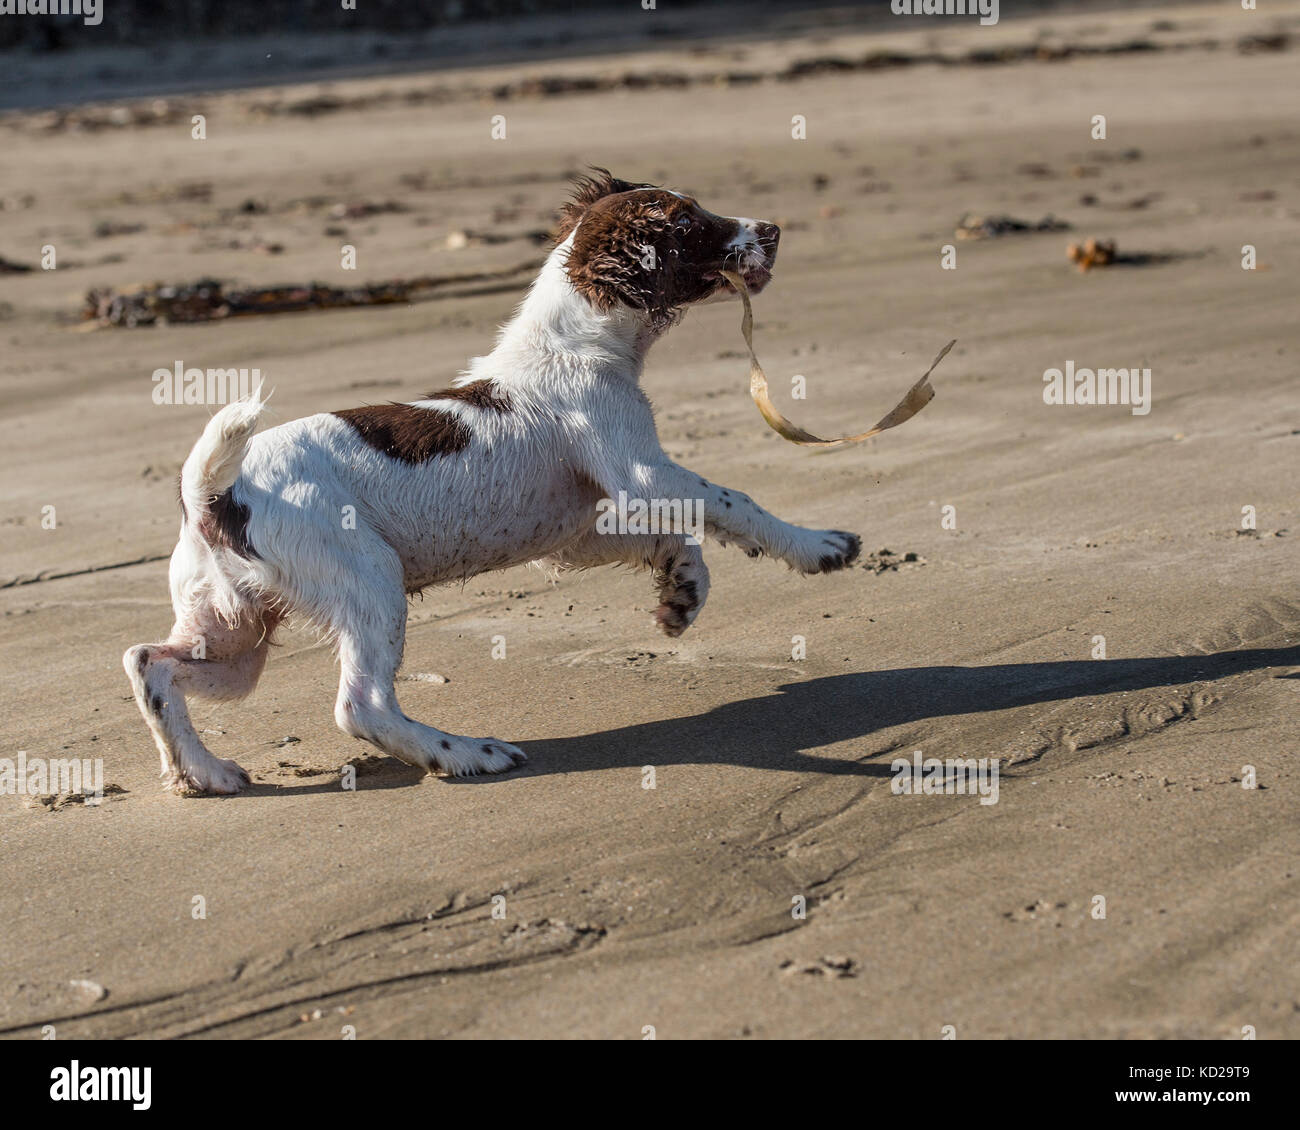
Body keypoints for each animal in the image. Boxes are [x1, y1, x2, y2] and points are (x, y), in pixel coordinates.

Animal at [126, 170, 863, 795]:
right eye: (689, 223)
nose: (773, 229)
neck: (571, 345)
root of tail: (210, 495)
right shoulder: (644, 474)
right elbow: (737, 504)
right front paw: (821, 546)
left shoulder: (574, 531)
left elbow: (675, 541)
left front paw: (683, 593)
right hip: (367, 578)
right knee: (360, 706)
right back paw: (465, 753)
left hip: (235, 633)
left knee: (149, 661)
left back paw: (203, 773)